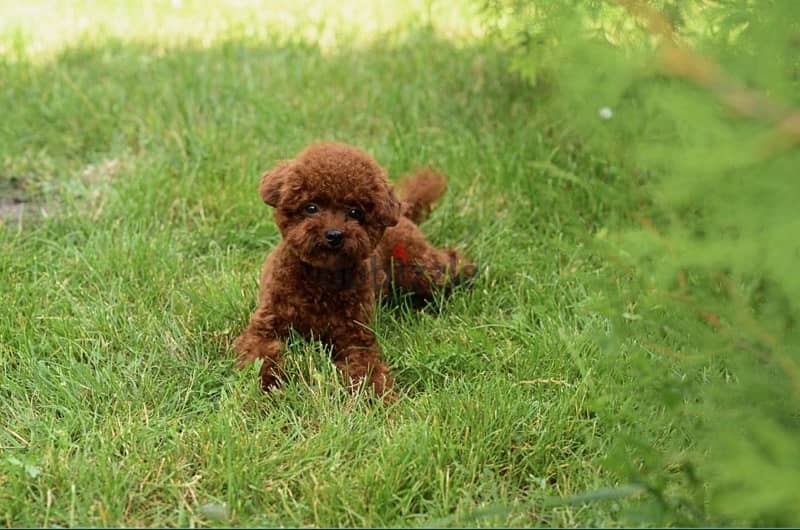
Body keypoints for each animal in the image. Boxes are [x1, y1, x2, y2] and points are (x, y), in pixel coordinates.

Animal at [234, 140, 472, 396]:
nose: (334, 235)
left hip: (420, 269)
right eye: (311, 207)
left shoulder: (355, 338)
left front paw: (376, 396)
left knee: (448, 262)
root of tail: (404, 213)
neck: (321, 280)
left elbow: (366, 367)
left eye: (355, 211)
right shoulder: (264, 328)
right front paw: (268, 383)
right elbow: (261, 356)